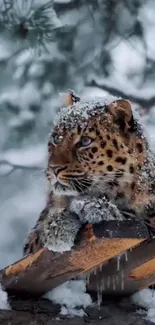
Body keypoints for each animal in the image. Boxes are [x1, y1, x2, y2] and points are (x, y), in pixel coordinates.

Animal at [23, 90, 155, 254]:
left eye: (85, 142)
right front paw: (57, 226)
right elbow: (37, 237)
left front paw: (95, 208)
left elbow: (134, 218)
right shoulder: (30, 243)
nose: (54, 168)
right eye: (57, 138)